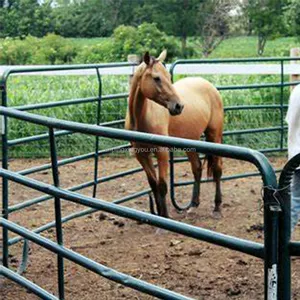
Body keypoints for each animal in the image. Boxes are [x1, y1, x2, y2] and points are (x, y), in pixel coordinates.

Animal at [123, 49, 223, 218]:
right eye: (156, 78)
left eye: (168, 77)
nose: (178, 106)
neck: (142, 117)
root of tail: (209, 85)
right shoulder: (141, 154)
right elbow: (153, 184)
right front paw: (158, 215)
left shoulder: (161, 152)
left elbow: (162, 185)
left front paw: (165, 216)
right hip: (190, 141)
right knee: (197, 168)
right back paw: (193, 204)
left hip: (214, 136)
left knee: (217, 169)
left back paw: (217, 207)